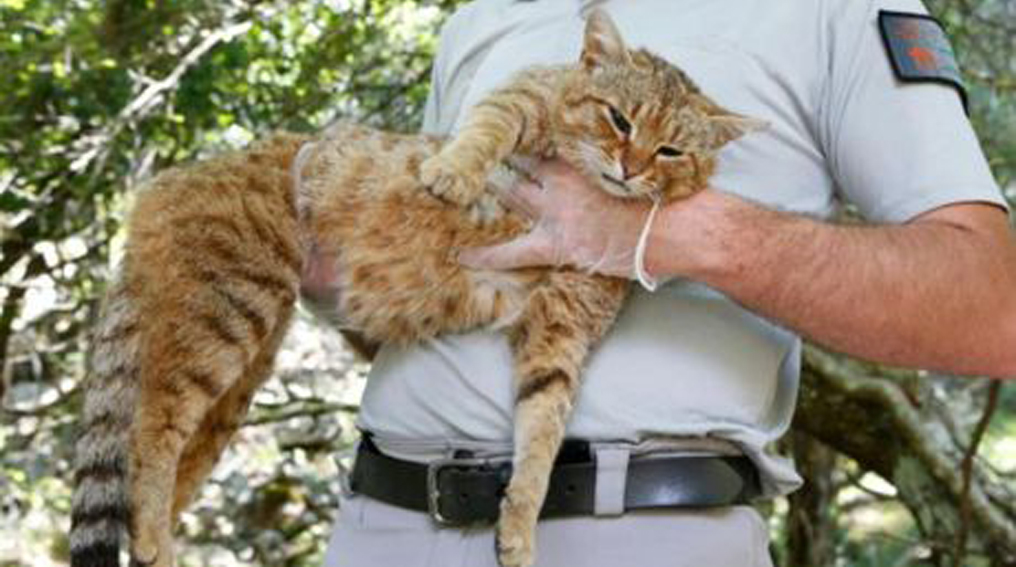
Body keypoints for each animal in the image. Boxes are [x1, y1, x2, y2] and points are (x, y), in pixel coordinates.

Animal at [67, 8, 759, 567]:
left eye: (670, 151)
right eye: (618, 119)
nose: (630, 169)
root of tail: (166, 184)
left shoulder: (560, 333)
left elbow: (541, 436)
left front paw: (519, 528)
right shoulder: (526, 93)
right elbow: (487, 127)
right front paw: (451, 172)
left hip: (238, 366)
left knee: (167, 458)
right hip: (228, 310)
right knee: (149, 432)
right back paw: (154, 537)